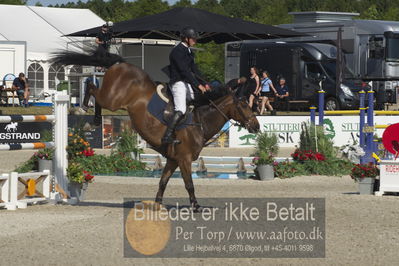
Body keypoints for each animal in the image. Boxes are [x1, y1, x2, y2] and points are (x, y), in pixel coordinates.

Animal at [52, 48, 260, 209]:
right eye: (244, 105)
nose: (256, 126)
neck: (199, 122)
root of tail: (122, 64)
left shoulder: (173, 160)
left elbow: (163, 182)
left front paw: (157, 204)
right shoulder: (184, 159)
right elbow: (189, 184)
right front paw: (195, 206)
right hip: (112, 100)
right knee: (92, 88)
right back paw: (86, 111)